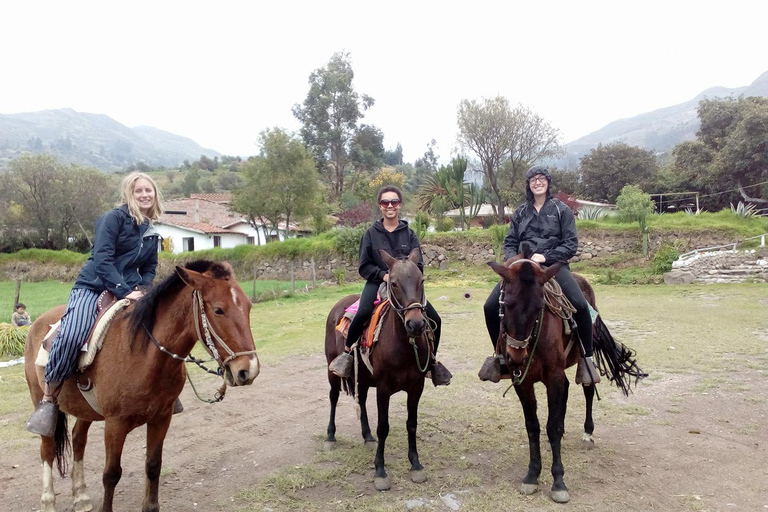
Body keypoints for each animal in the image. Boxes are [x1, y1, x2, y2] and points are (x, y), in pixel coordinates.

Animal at [24, 262, 260, 512]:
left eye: (248, 306)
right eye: (218, 310)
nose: (249, 369)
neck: (144, 353)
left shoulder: (161, 417)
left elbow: (153, 464)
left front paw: (150, 505)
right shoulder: (115, 424)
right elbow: (111, 474)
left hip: (85, 409)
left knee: (78, 439)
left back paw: (81, 496)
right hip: (41, 399)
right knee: (47, 448)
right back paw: (48, 501)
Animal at [322, 248, 432, 492]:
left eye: (421, 281)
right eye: (394, 283)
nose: (416, 324)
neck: (403, 345)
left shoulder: (416, 387)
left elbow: (412, 424)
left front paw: (416, 465)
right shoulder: (383, 389)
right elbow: (384, 427)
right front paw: (380, 471)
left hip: (362, 377)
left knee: (361, 400)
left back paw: (367, 436)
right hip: (332, 370)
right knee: (333, 397)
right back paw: (330, 436)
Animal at [488, 244, 644, 504]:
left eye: (540, 306)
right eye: (505, 303)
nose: (515, 356)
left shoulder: (553, 375)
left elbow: (551, 427)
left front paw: (558, 481)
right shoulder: (523, 380)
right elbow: (533, 426)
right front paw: (532, 476)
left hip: (582, 360)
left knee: (588, 390)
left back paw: (587, 434)